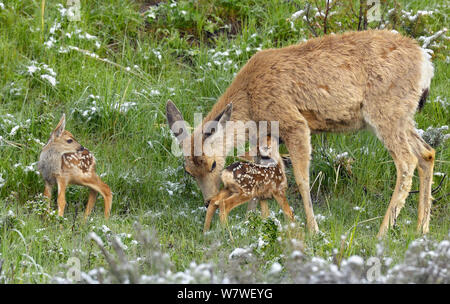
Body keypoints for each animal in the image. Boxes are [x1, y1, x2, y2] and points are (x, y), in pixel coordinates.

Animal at [167, 29, 434, 238]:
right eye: (187, 170)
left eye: (212, 164)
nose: (207, 200)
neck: (250, 101)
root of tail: (426, 64)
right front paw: (252, 222)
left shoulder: (294, 122)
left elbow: (302, 178)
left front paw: (312, 228)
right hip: (404, 116)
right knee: (427, 153)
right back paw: (421, 228)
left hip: (386, 111)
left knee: (407, 161)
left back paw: (383, 231)